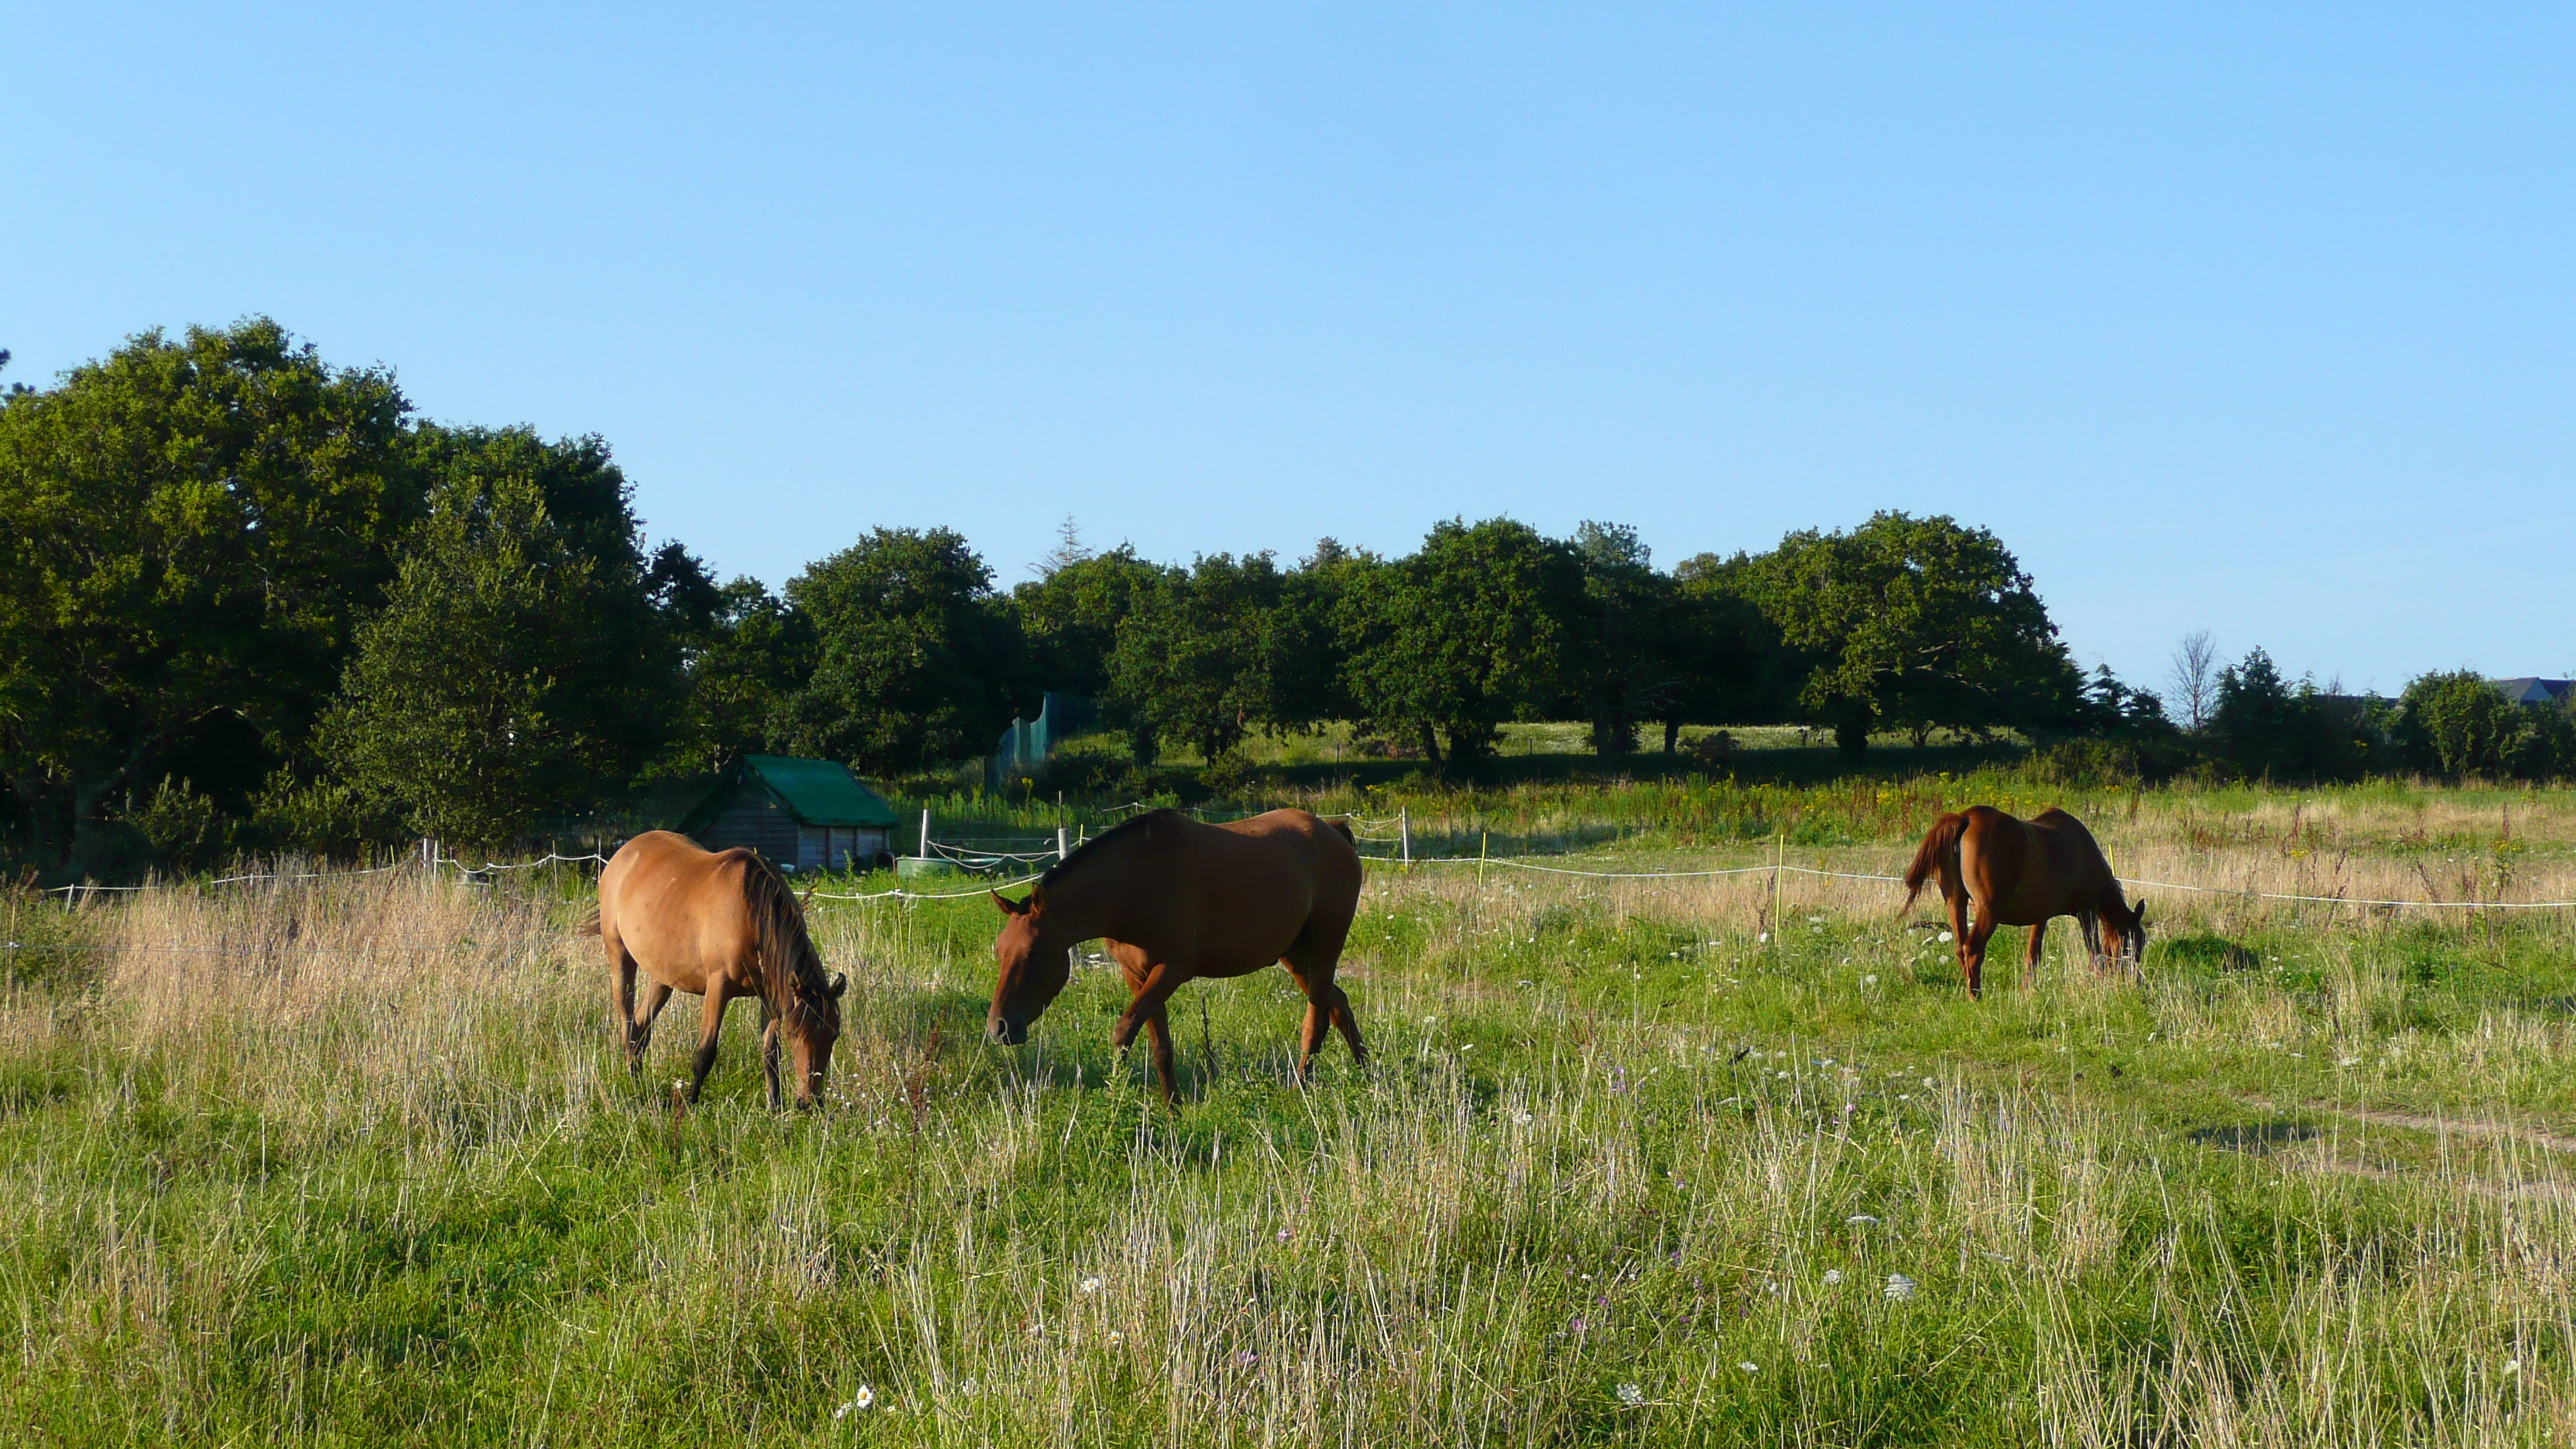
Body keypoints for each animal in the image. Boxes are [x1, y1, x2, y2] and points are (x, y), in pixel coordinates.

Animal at [582, 830, 844, 1098]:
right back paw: (632, 1085)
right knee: (627, 1023)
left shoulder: (770, 995)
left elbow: (770, 1055)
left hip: (663, 976)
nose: (809, 1100)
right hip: (619, 955)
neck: (751, 911)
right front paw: (690, 1102)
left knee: (640, 1024)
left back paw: (638, 1079)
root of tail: (625, 852)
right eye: (793, 1033)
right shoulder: (718, 986)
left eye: (834, 1034)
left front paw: (775, 1105)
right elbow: (705, 1052)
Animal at [984, 804, 1370, 1098]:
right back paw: (1367, 1075)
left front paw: (1115, 1095)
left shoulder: (1171, 971)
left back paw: (1300, 1088)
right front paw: (1173, 1109)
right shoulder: (1137, 975)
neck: (1133, 884)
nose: (999, 1028)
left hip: (1325, 949)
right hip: (1296, 957)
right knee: (1339, 1006)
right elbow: (1160, 1047)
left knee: (1316, 1022)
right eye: (1000, 952)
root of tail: (1334, 831)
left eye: (1034, 953)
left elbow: (1124, 1032)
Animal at [1906, 799, 2143, 990]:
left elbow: (2033, 955)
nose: (2136, 981)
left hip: (1956, 902)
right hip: (1987, 911)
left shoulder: (2041, 916)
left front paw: (2027, 989)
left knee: (1959, 948)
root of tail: (1966, 818)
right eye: (2134, 941)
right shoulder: (2088, 911)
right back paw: (1976, 996)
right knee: (1972, 949)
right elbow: (2095, 952)